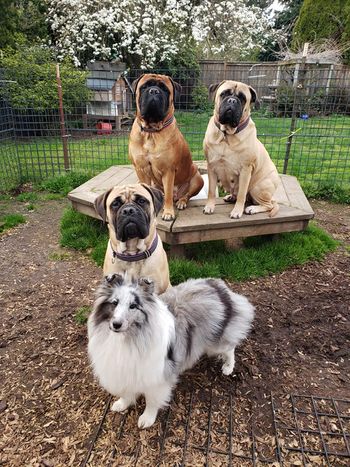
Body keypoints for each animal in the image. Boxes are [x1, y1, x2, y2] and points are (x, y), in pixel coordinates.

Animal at [87, 274, 254, 432]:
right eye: (114, 303)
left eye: (133, 306)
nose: (116, 324)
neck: (129, 337)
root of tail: (217, 284)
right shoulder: (125, 372)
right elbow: (127, 393)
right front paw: (122, 404)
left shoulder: (156, 379)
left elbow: (151, 401)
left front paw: (147, 419)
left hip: (217, 343)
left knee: (230, 348)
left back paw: (228, 367)